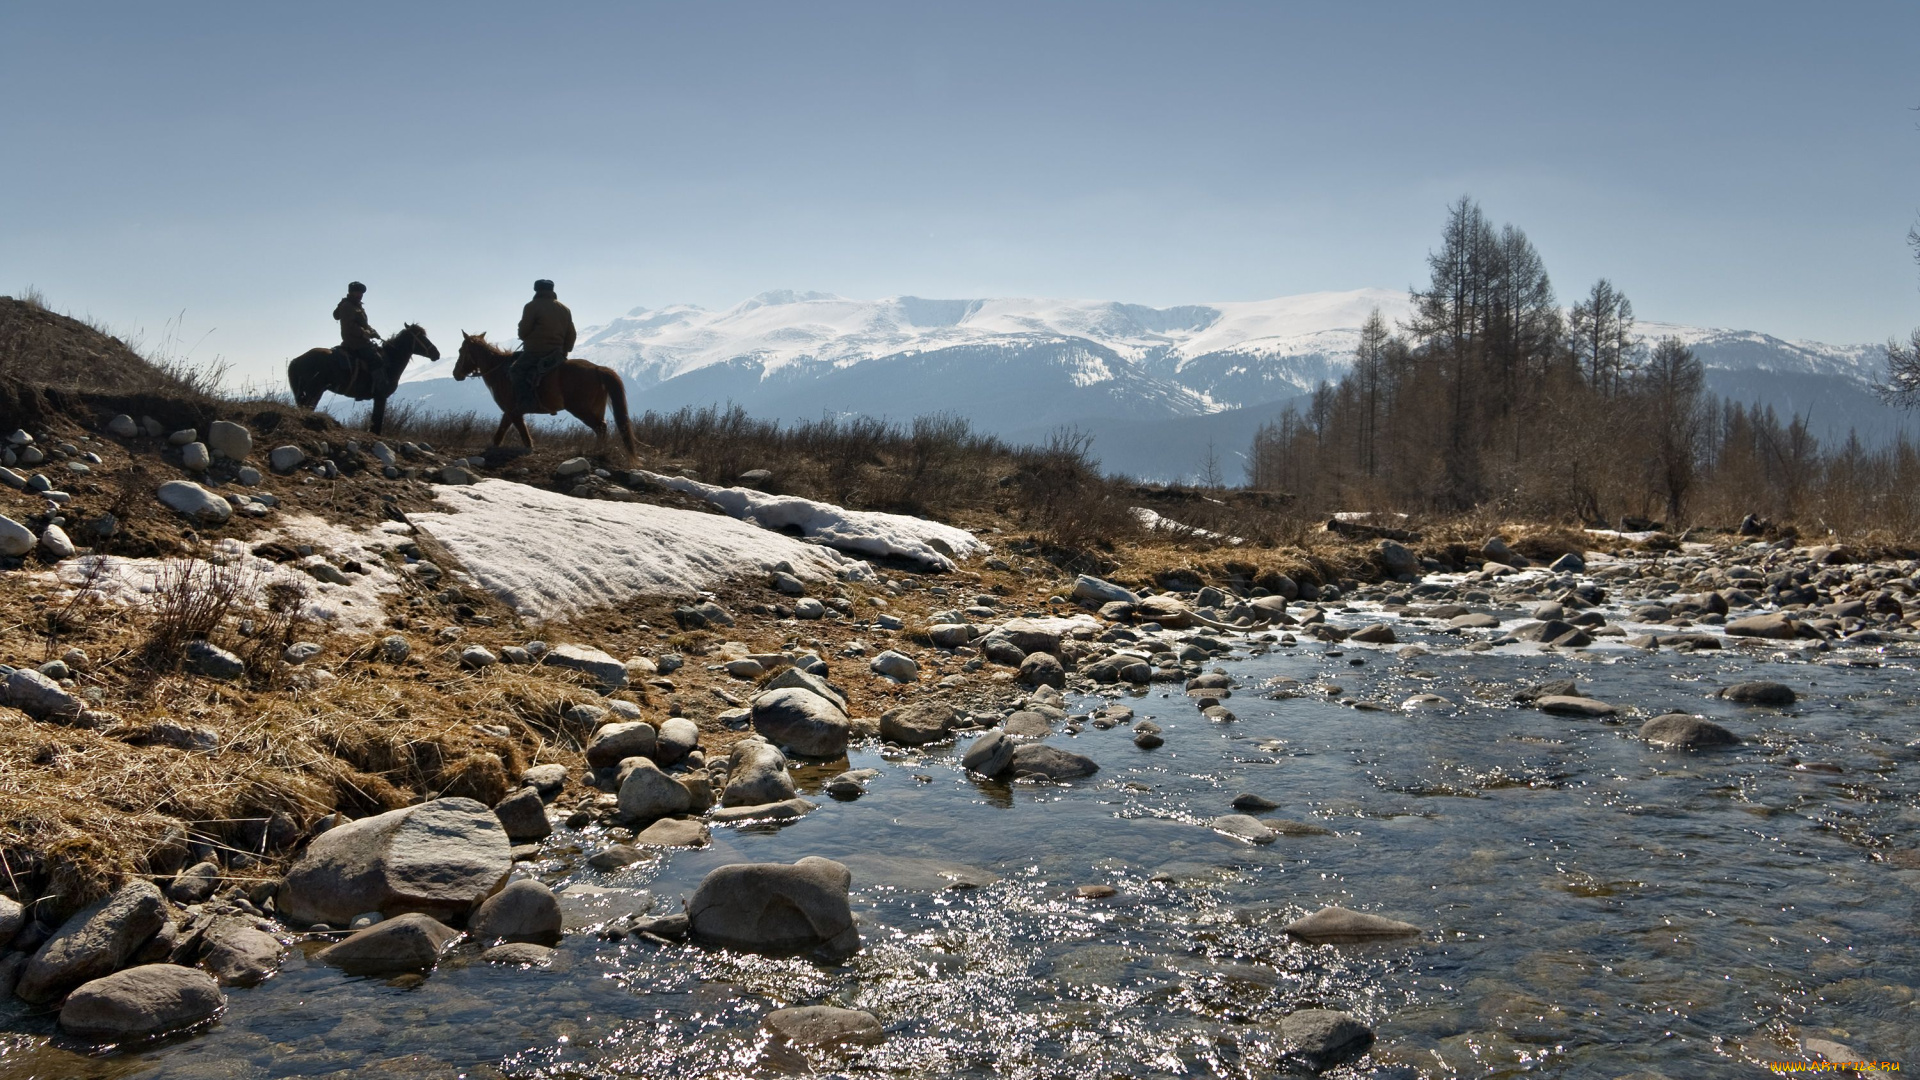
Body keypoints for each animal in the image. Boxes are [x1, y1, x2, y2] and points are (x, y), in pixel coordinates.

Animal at [286, 322, 439, 432]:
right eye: (421, 337)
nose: (436, 353)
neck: (390, 361)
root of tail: (297, 359)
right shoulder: (381, 397)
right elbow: (376, 424)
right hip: (314, 391)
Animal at [451, 330, 633, 451]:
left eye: (461, 350)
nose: (455, 373)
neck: (500, 370)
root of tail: (597, 369)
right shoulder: (510, 412)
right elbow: (500, 434)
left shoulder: (513, 411)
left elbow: (524, 437)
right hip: (596, 409)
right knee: (602, 428)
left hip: (581, 409)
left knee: (600, 428)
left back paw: (597, 452)